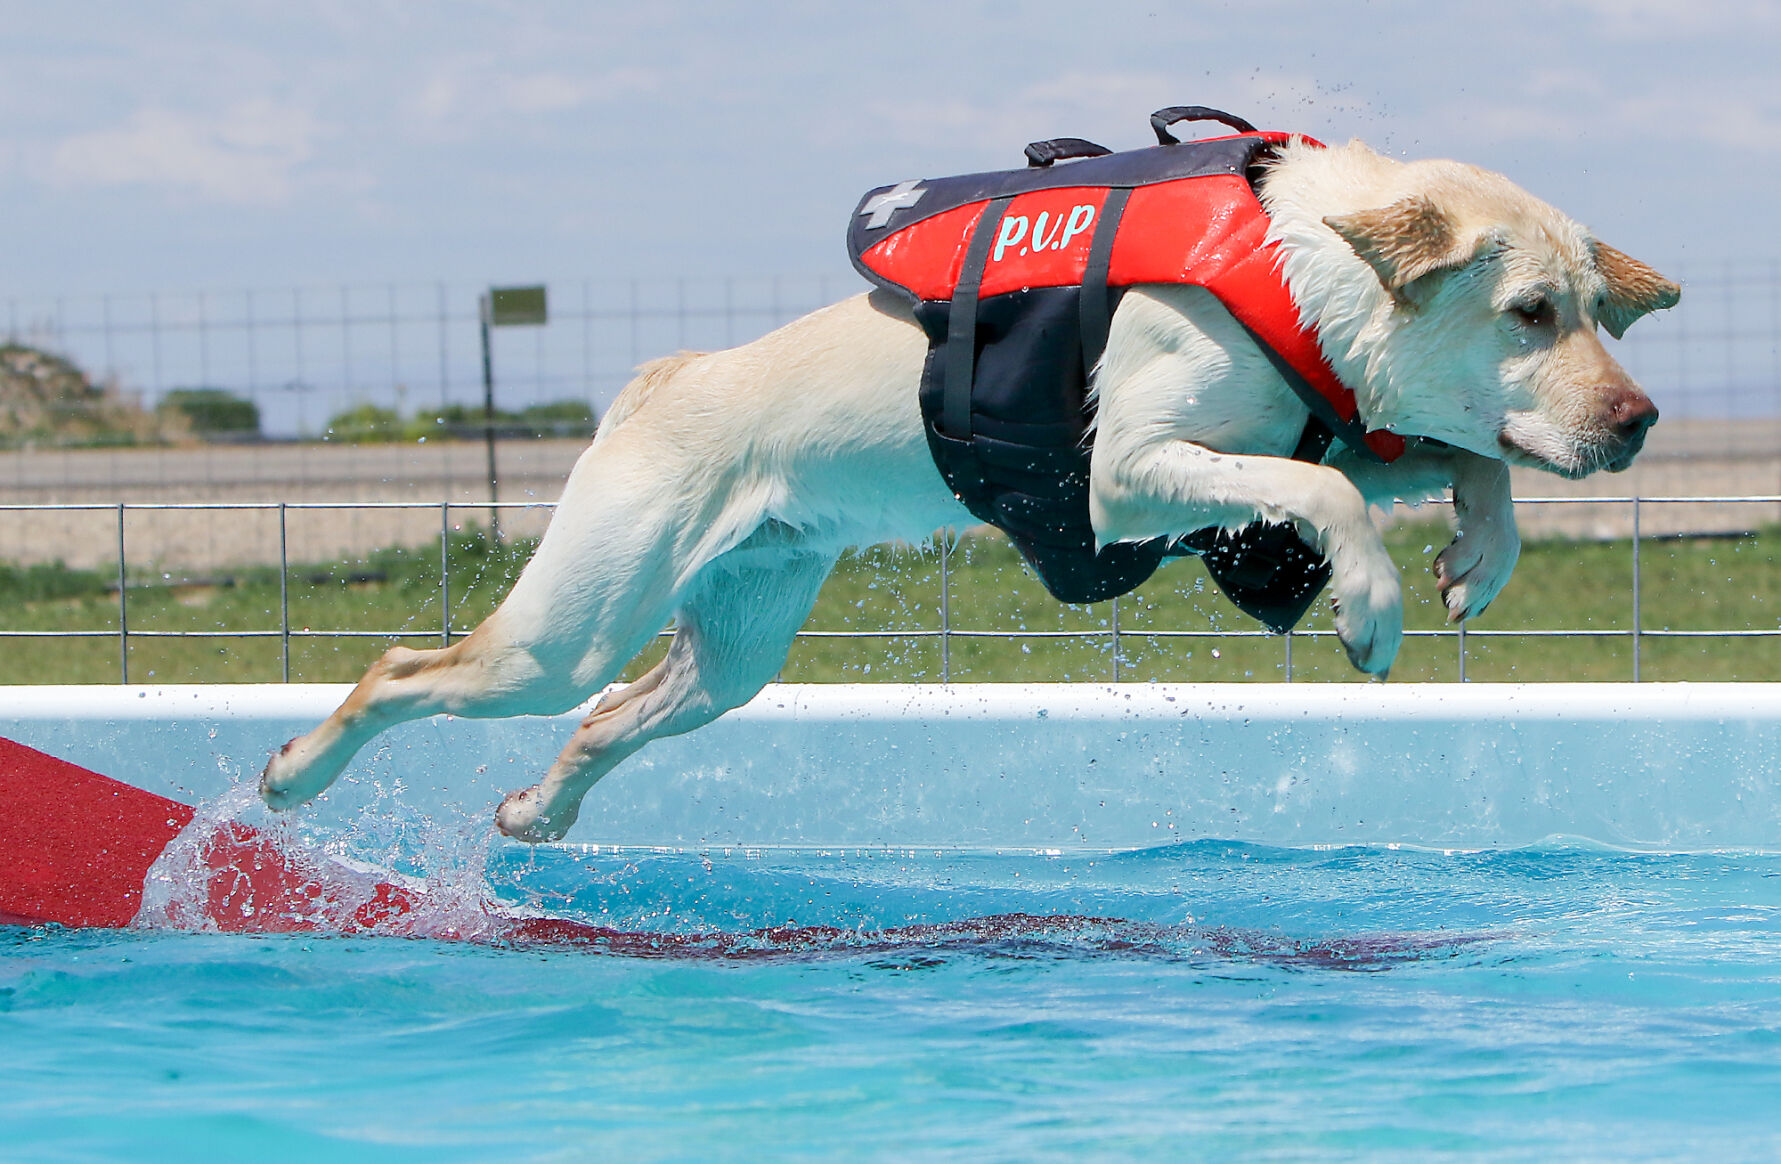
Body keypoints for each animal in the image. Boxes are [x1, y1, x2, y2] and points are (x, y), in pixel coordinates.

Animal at [258, 137, 1674, 843]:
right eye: (1527, 310)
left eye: (1594, 313)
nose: (1640, 422)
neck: (1287, 272)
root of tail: (662, 375)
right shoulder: (1126, 475)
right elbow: (1316, 493)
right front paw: (1368, 604)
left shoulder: (1348, 424)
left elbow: (1460, 457)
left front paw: (1475, 555)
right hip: (570, 621)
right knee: (405, 669)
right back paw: (288, 780)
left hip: (736, 640)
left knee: (611, 718)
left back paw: (534, 811)